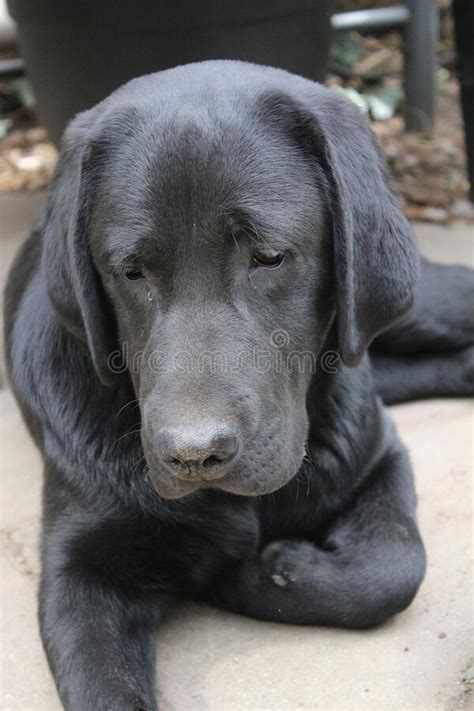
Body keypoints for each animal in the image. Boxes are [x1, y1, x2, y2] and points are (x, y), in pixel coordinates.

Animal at [4, 62, 474, 711]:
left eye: (269, 256)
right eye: (129, 272)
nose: (193, 454)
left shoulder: (380, 456)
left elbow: (393, 567)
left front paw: (261, 573)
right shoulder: (78, 568)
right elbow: (105, 688)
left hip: (423, 304)